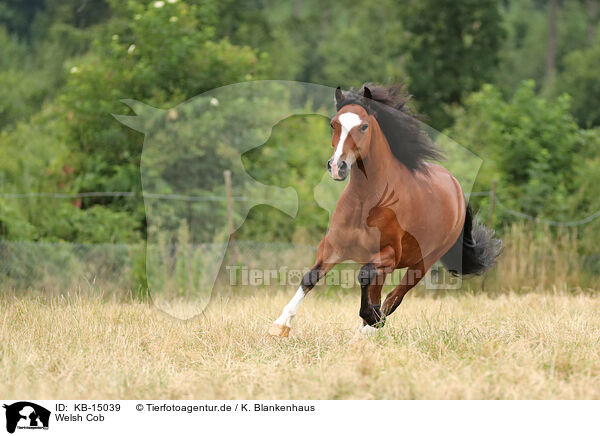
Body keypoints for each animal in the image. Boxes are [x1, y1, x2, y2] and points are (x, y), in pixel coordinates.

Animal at [268, 84, 502, 338]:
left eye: (364, 126)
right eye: (333, 124)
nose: (337, 167)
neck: (366, 201)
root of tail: (456, 187)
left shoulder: (390, 254)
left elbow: (364, 276)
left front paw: (372, 318)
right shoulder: (333, 247)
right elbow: (311, 277)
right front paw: (280, 325)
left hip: (423, 262)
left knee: (394, 297)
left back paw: (369, 328)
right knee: (380, 293)